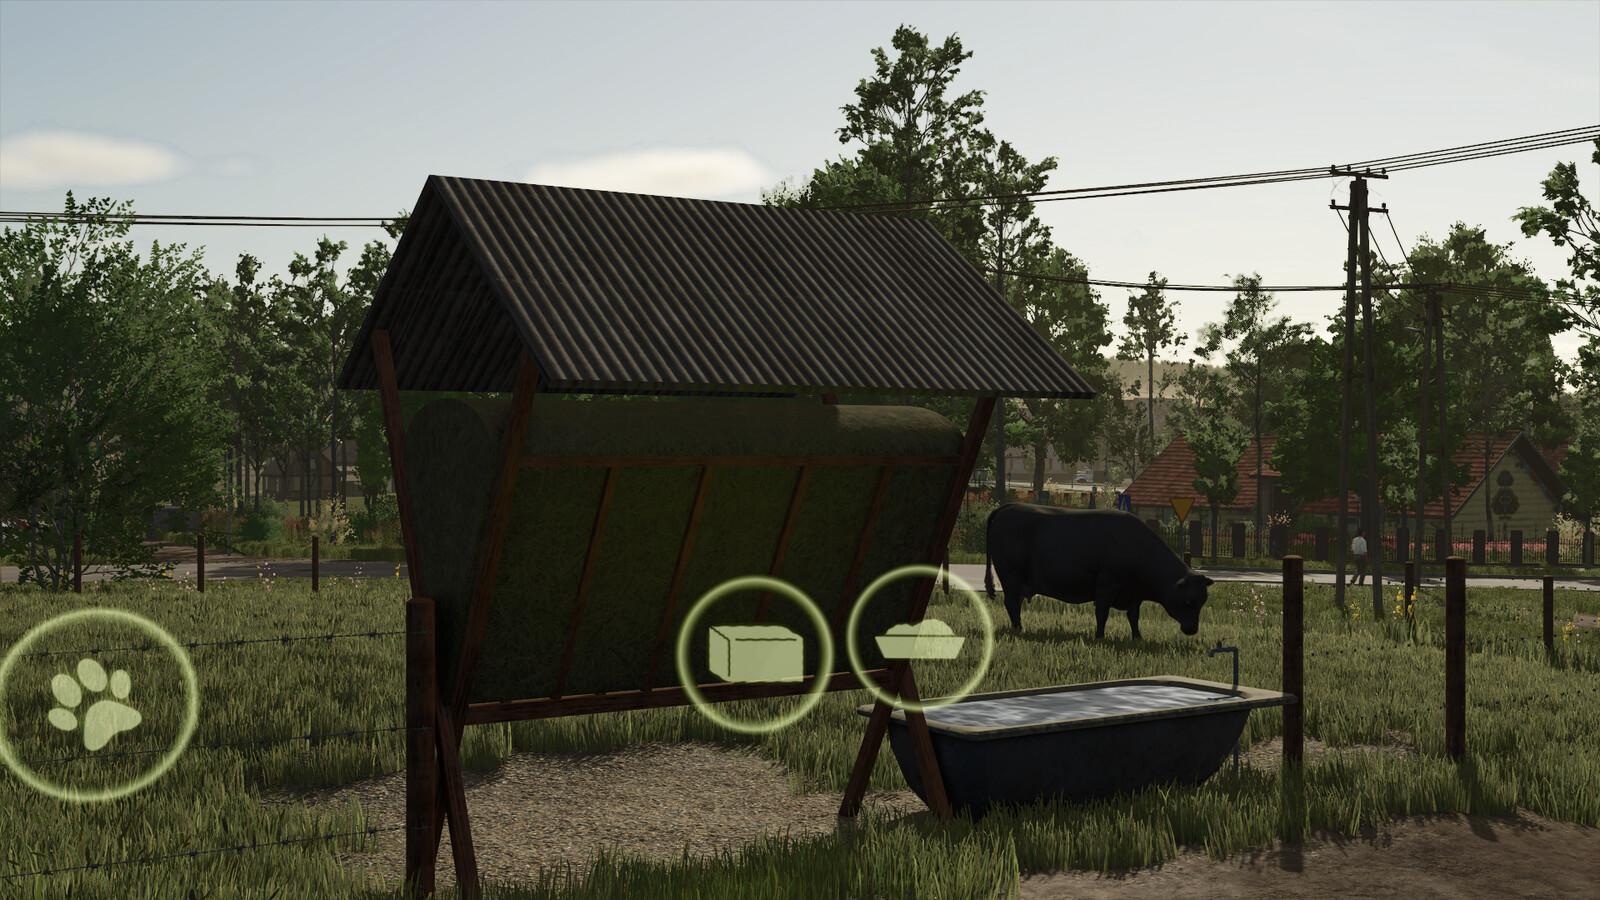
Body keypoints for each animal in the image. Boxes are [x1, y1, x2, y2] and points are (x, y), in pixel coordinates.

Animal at [984, 503, 1213, 638]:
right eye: (1188, 601)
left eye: (1202, 602)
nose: (1192, 630)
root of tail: (1010, 507)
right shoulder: (1106, 583)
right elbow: (1102, 613)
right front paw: (1100, 637)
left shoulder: (1134, 592)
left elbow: (1134, 616)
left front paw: (1137, 638)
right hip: (1010, 574)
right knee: (1011, 603)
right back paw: (1019, 629)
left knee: (1015, 603)